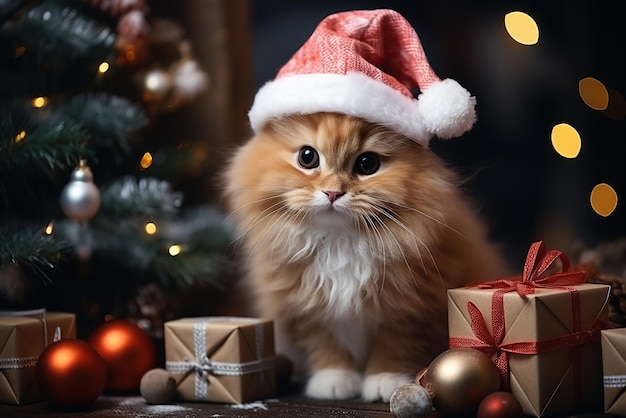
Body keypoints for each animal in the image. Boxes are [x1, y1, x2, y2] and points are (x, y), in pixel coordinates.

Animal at [222, 111, 504, 402]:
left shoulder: (409, 311)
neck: (339, 244)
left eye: (367, 164)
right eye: (307, 157)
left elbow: (394, 348)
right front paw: (334, 382)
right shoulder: (307, 311)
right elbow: (326, 347)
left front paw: (385, 382)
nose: (333, 193)